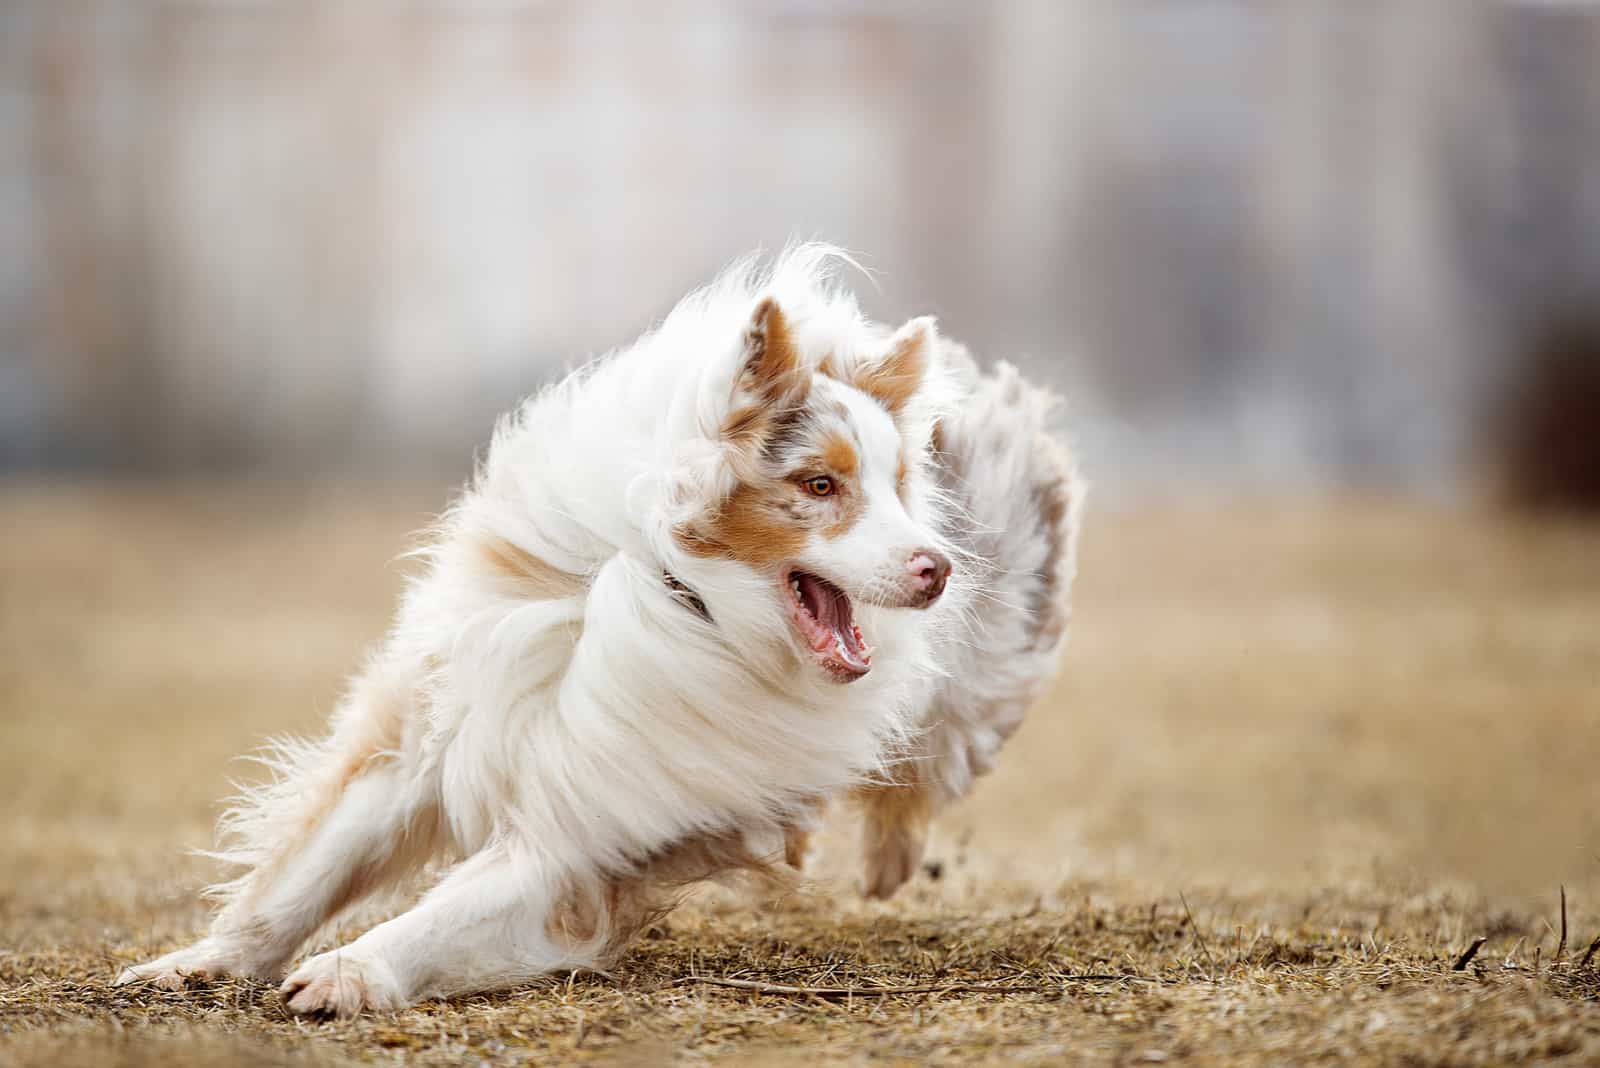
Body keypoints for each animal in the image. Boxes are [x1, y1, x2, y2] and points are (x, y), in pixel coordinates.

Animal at [118, 246, 1081, 1016]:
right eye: (819, 485)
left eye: (894, 484)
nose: (939, 568)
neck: (672, 590)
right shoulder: (429, 738)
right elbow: (305, 873)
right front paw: (201, 962)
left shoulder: (578, 831)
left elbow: (439, 914)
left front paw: (350, 971)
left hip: (978, 684)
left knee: (930, 766)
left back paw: (886, 856)